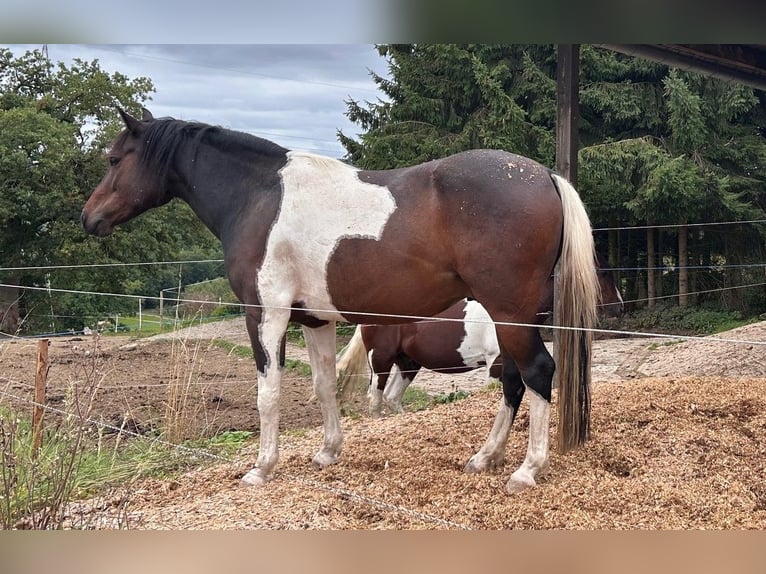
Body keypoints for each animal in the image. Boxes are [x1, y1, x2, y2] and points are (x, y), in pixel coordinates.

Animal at [337, 254, 623, 417]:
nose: (619, 307)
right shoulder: (494, 363)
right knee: (375, 399)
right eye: (603, 274)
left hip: (408, 363)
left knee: (392, 397)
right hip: (381, 361)